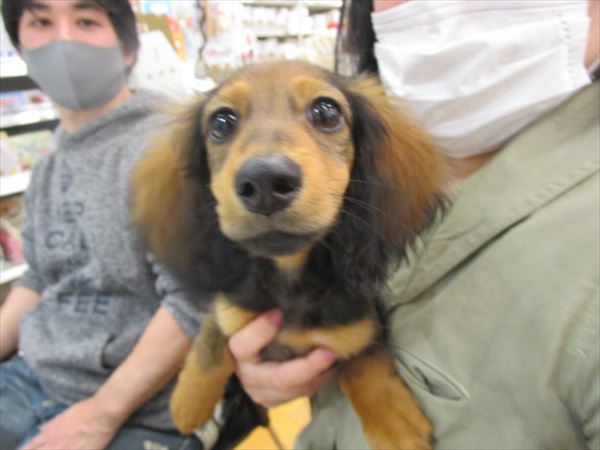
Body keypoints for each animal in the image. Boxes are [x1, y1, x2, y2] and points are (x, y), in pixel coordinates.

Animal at [132, 60, 445, 449]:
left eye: (326, 112)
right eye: (222, 122)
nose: (264, 181)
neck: (289, 277)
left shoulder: (358, 331)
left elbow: (363, 365)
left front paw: (395, 425)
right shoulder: (232, 308)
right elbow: (211, 341)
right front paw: (188, 403)